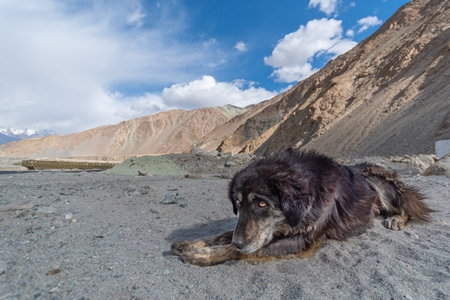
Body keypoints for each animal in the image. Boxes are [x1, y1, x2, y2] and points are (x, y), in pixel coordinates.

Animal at [171, 149, 434, 264]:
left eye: (261, 203)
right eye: (237, 203)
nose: (239, 241)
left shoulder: (302, 239)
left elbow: (241, 250)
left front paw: (201, 255)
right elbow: (223, 234)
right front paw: (190, 244)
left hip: (379, 181)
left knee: (406, 207)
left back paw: (397, 219)